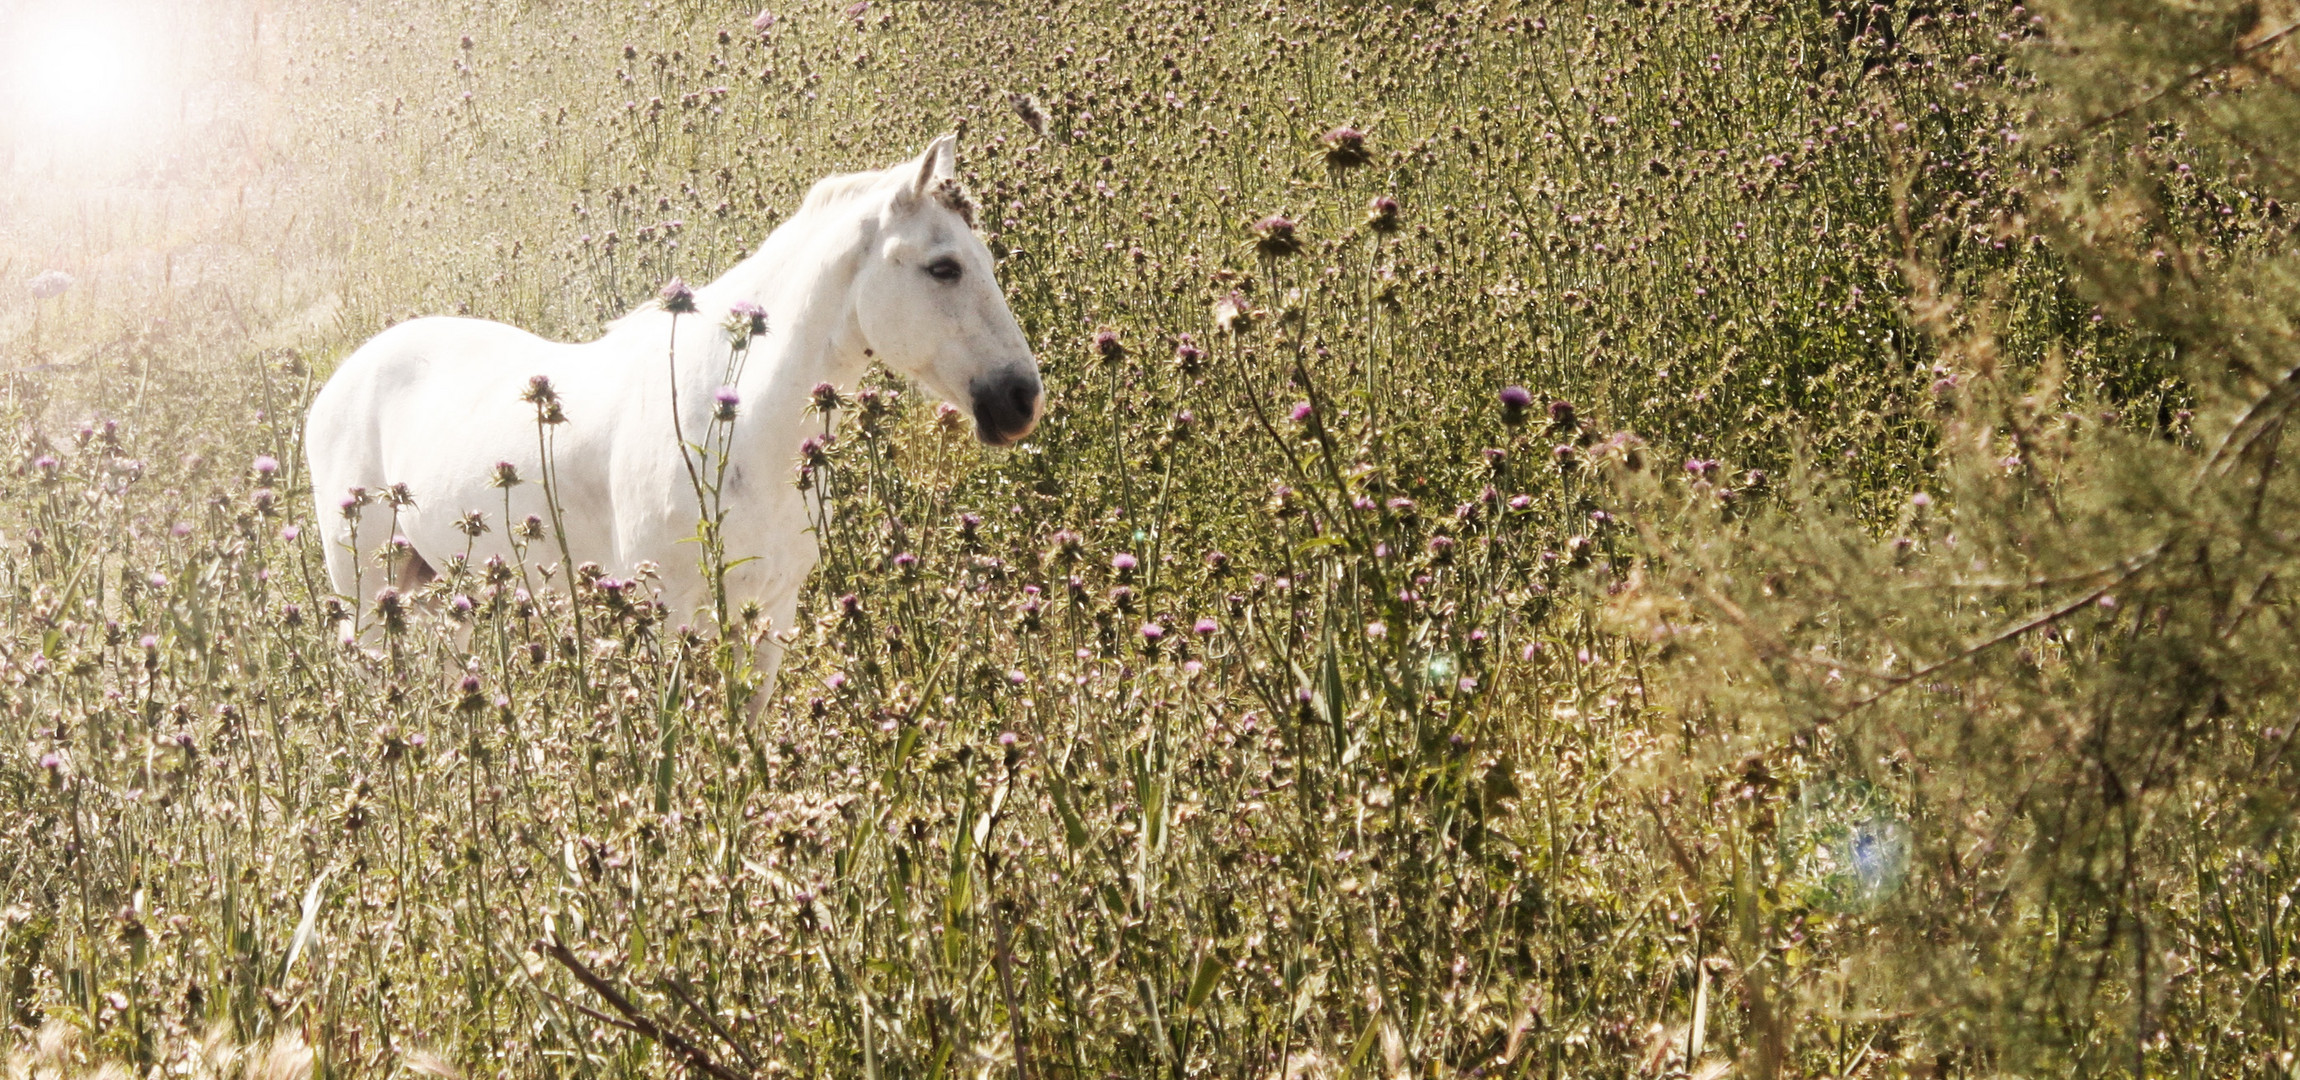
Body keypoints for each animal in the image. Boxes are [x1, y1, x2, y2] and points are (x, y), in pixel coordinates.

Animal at [303, 135, 1044, 684]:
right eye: (944, 267)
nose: (1021, 399)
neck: (740, 434)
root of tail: (342, 378)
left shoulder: (772, 611)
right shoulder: (670, 617)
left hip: (436, 590)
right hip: (367, 594)